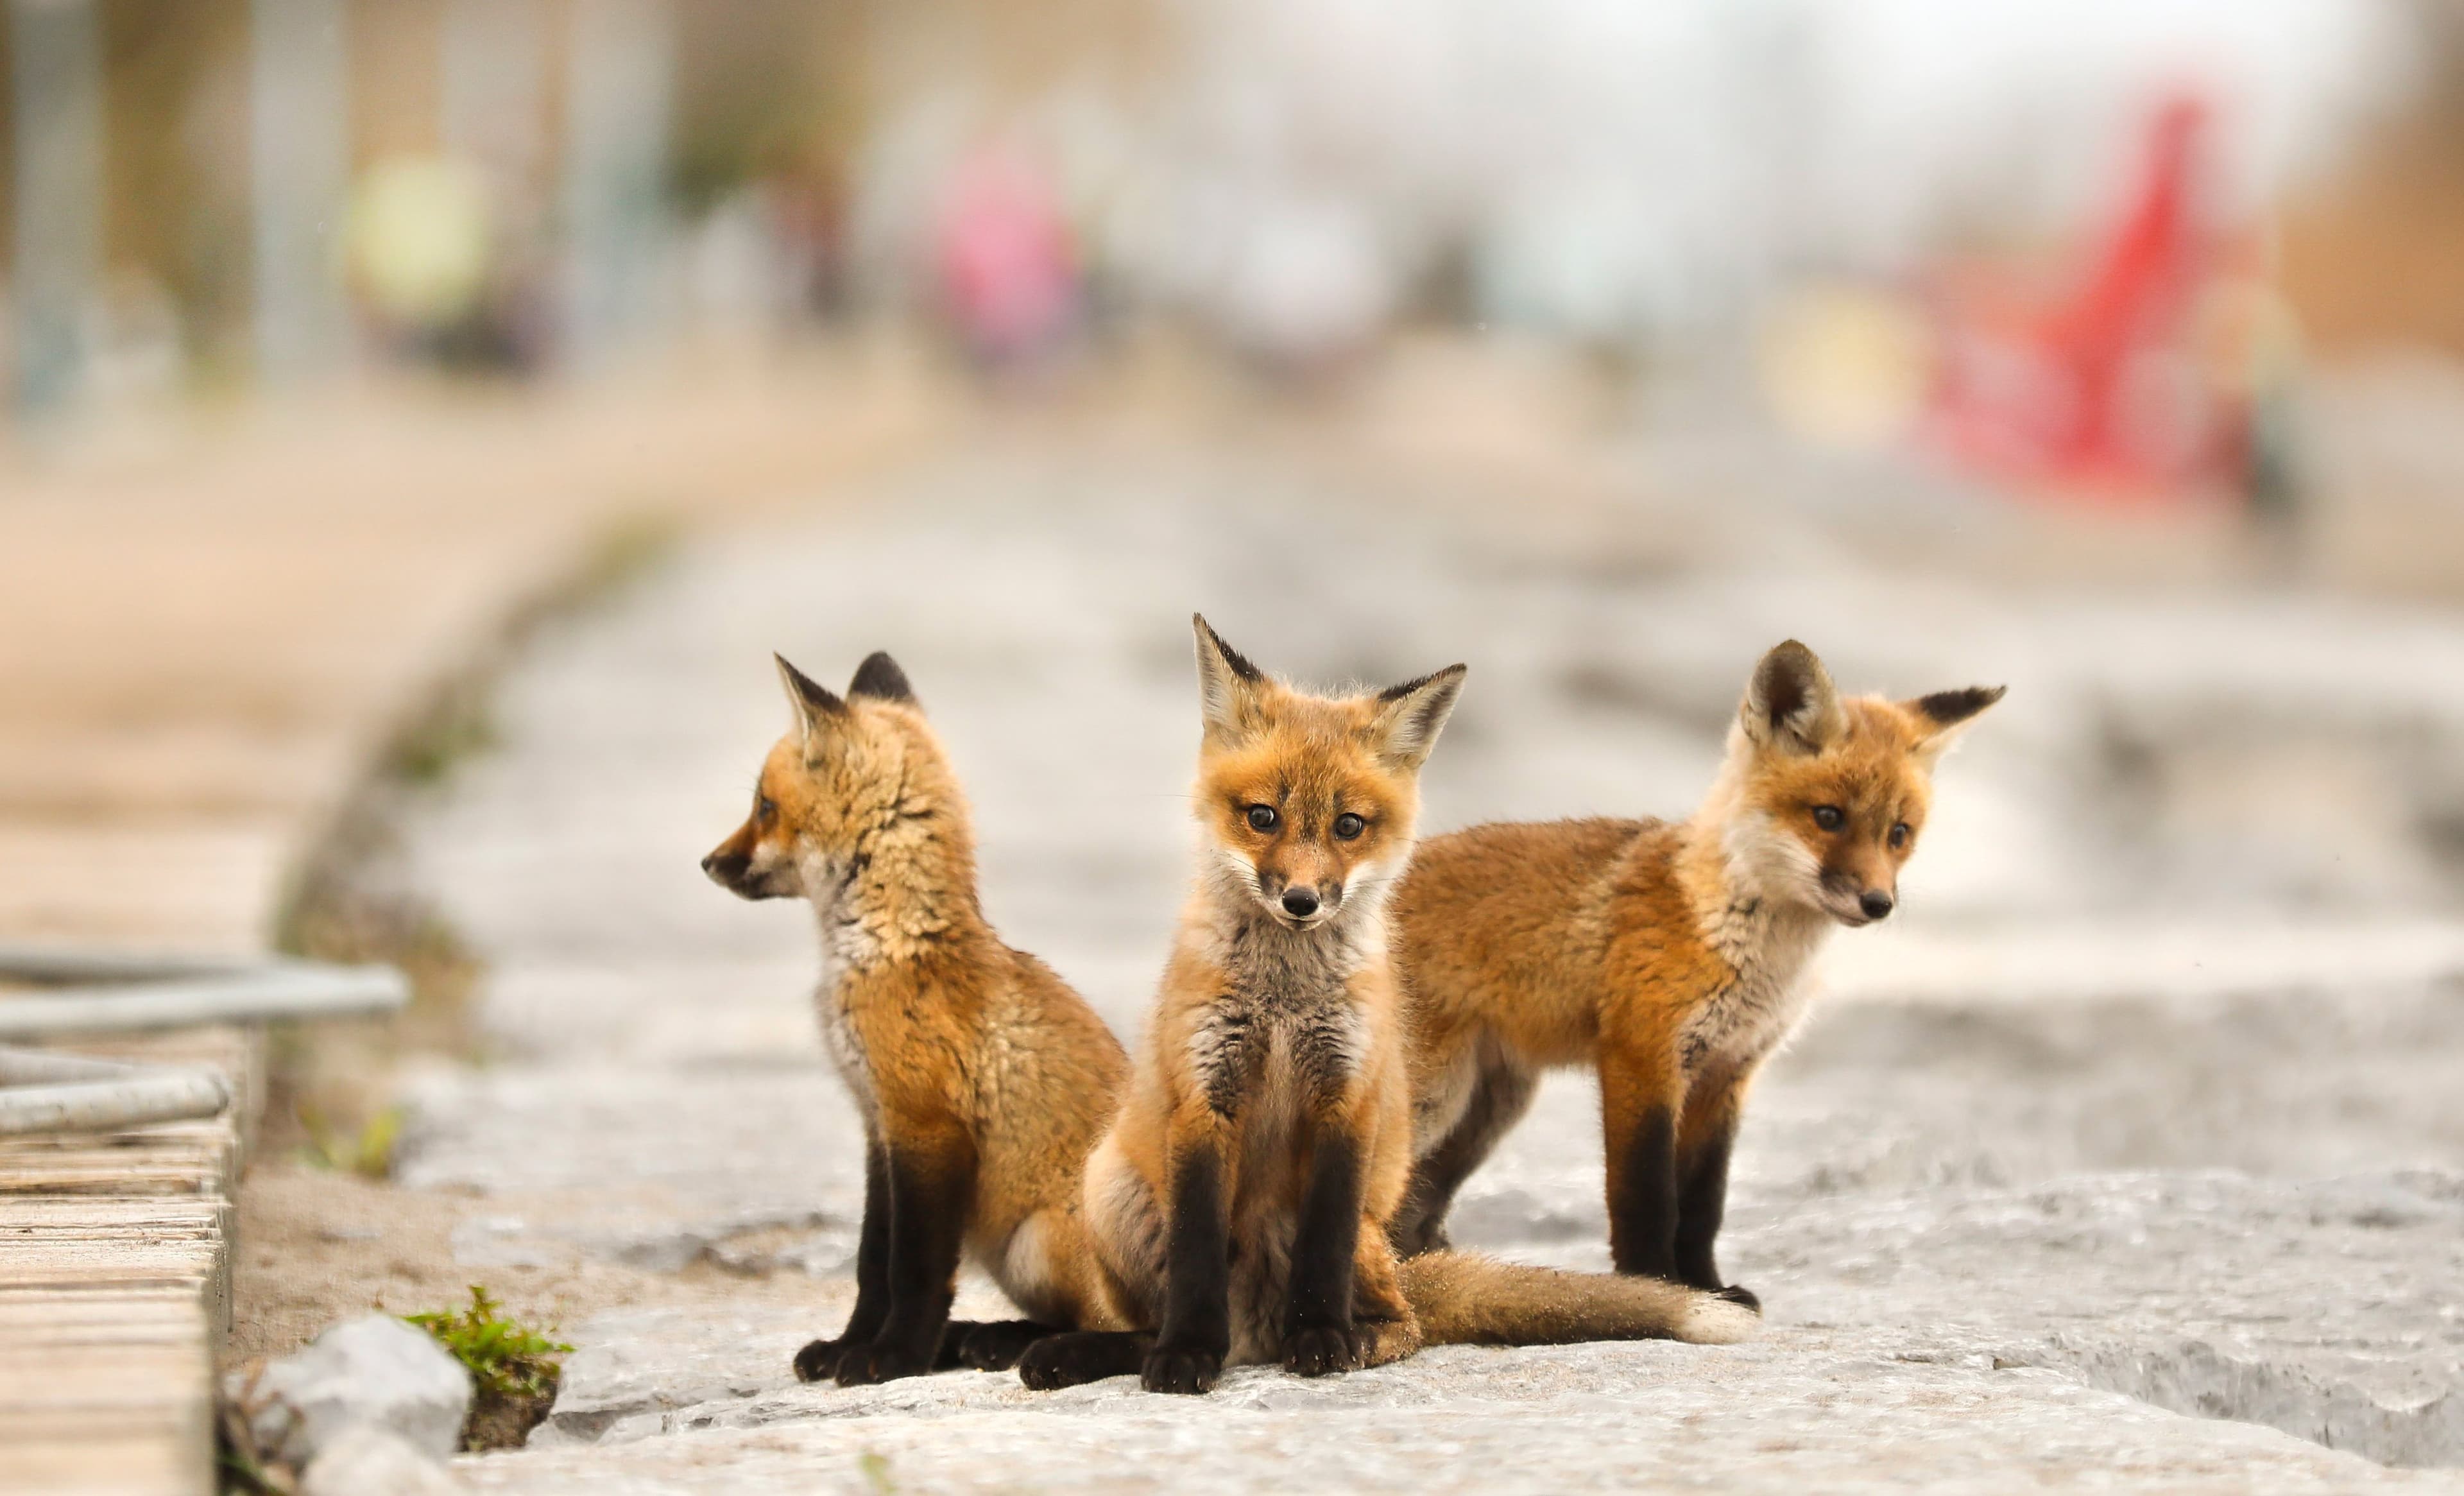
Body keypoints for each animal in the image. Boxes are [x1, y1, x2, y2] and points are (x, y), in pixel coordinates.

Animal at [700, 651, 1131, 1385]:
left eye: (763, 806)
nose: (707, 862)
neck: (891, 949)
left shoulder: (928, 1126)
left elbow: (915, 1269)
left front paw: (895, 1356)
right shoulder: (879, 1126)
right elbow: (872, 1263)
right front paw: (849, 1345)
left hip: (1044, 1239)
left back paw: (1057, 1354)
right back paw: (992, 1338)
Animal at [1017, 618, 1759, 1396]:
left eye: (1349, 826)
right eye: (1262, 817)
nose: (1301, 901)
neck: (1285, 1001)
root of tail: (1252, 1334)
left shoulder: (1349, 1100)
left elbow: (1326, 1250)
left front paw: (1322, 1341)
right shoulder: (1203, 1097)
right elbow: (1196, 1255)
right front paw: (1186, 1353)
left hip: (1359, 1235)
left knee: (1408, 1322)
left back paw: (1349, 1337)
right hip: (1111, 1191)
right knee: (1159, 1321)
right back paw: (1099, 1351)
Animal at [1386, 639, 2004, 1305]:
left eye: (1898, 833)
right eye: (1829, 817)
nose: (1878, 903)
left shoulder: (1728, 1071)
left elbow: (1704, 1202)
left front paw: (1708, 1285)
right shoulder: (1642, 1056)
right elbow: (1647, 1196)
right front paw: (1657, 1286)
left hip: (1488, 1108)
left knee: (1411, 1215)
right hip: (1438, 1097)